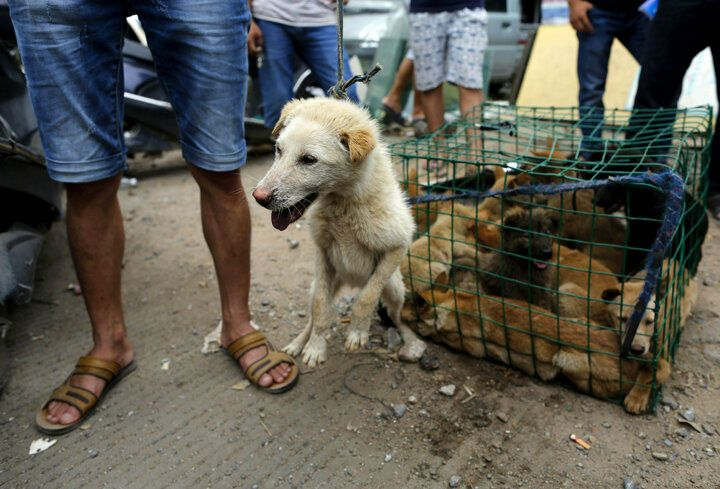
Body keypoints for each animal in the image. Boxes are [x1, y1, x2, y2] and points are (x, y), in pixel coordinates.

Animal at [252, 98, 424, 366]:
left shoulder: (397, 246)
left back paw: (409, 338)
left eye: (308, 159)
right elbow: (321, 308)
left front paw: (357, 333)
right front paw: (315, 347)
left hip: (396, 289)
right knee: (313, 314)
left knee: (395, 315)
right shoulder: (323, 253)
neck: (343, 203)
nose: (258, 198)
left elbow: (366, 298)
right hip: (318, 286)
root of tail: (352, 281)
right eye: (278, 149)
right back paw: (297, 343)